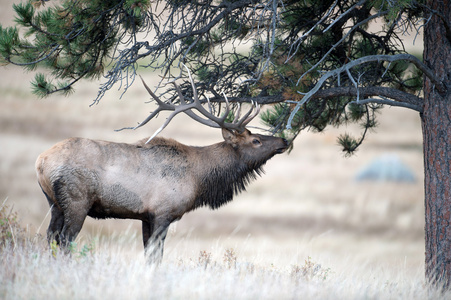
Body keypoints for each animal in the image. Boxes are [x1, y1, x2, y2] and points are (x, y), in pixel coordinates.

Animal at [36, 71, 290, 262]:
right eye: (256, 140)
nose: (284, 141)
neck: (199, 179)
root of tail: (41, 162)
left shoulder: (145, 216)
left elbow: (148, 254)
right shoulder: (163, 212)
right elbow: (156, 255)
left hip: (54, 202)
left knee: (50, 236)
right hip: (76, 200)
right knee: (65, 239)